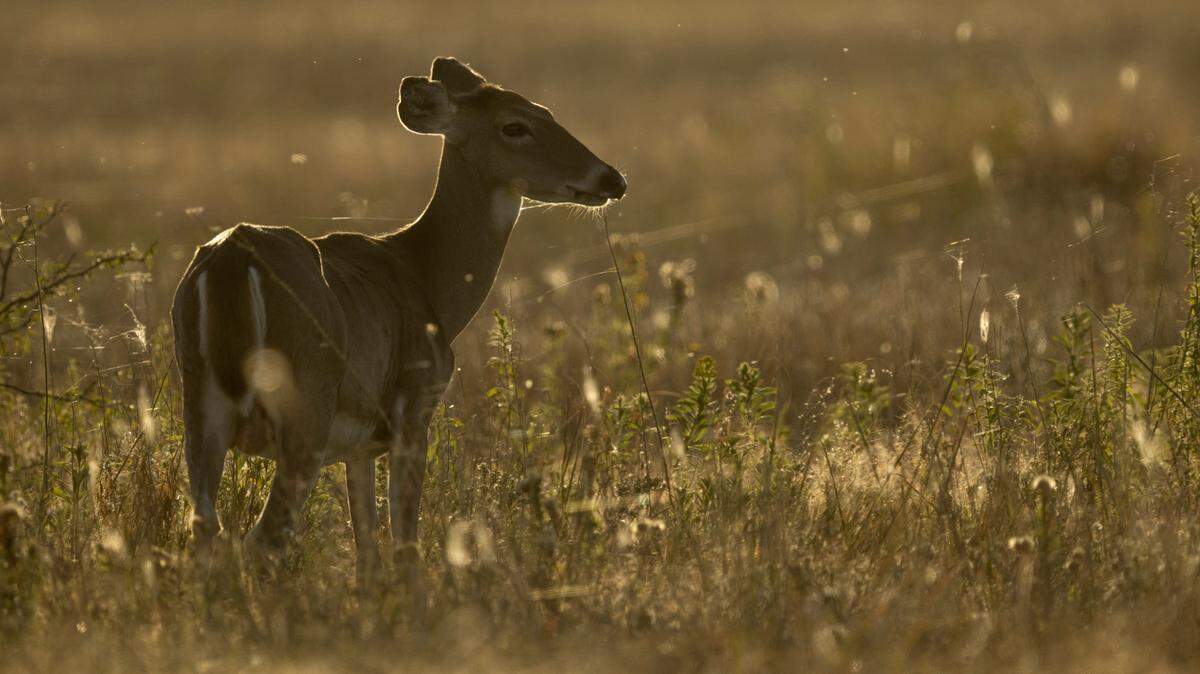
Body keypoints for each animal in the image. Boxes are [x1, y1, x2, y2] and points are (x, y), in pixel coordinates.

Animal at [170, 57, 626, 582]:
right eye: (515, 125)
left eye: (547, 111)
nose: (612, 178)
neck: (429, 282)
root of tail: (230, 261)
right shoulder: (415, 407)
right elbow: (405, 544)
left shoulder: (359, 446)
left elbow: (367, 551)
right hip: (304, 408)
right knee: (261, 538)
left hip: (201, 406)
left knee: (206, 529)